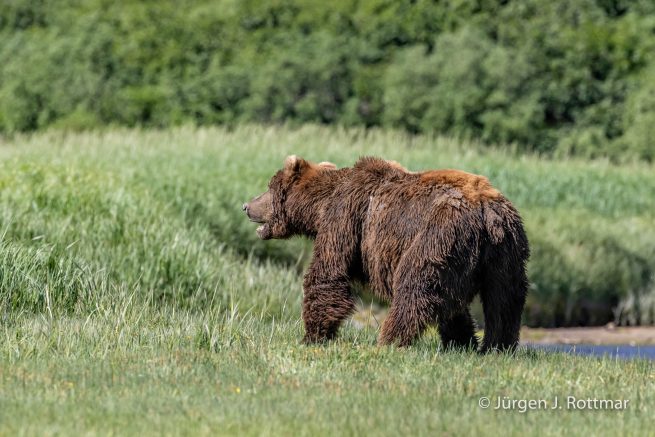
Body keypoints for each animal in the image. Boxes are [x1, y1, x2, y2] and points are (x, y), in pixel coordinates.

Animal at [243, 156, 530, 352]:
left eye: (269, 187)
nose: (246, 205)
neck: (319, 207)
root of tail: (487, 208)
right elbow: (454, 305)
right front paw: (461, 339)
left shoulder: (345, 217)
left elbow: (328, 273)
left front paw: (312, 336)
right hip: (505, 251)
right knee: (504, 300)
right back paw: (496, 347)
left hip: (439, 234)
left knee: (415, 285)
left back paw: (389, 339)